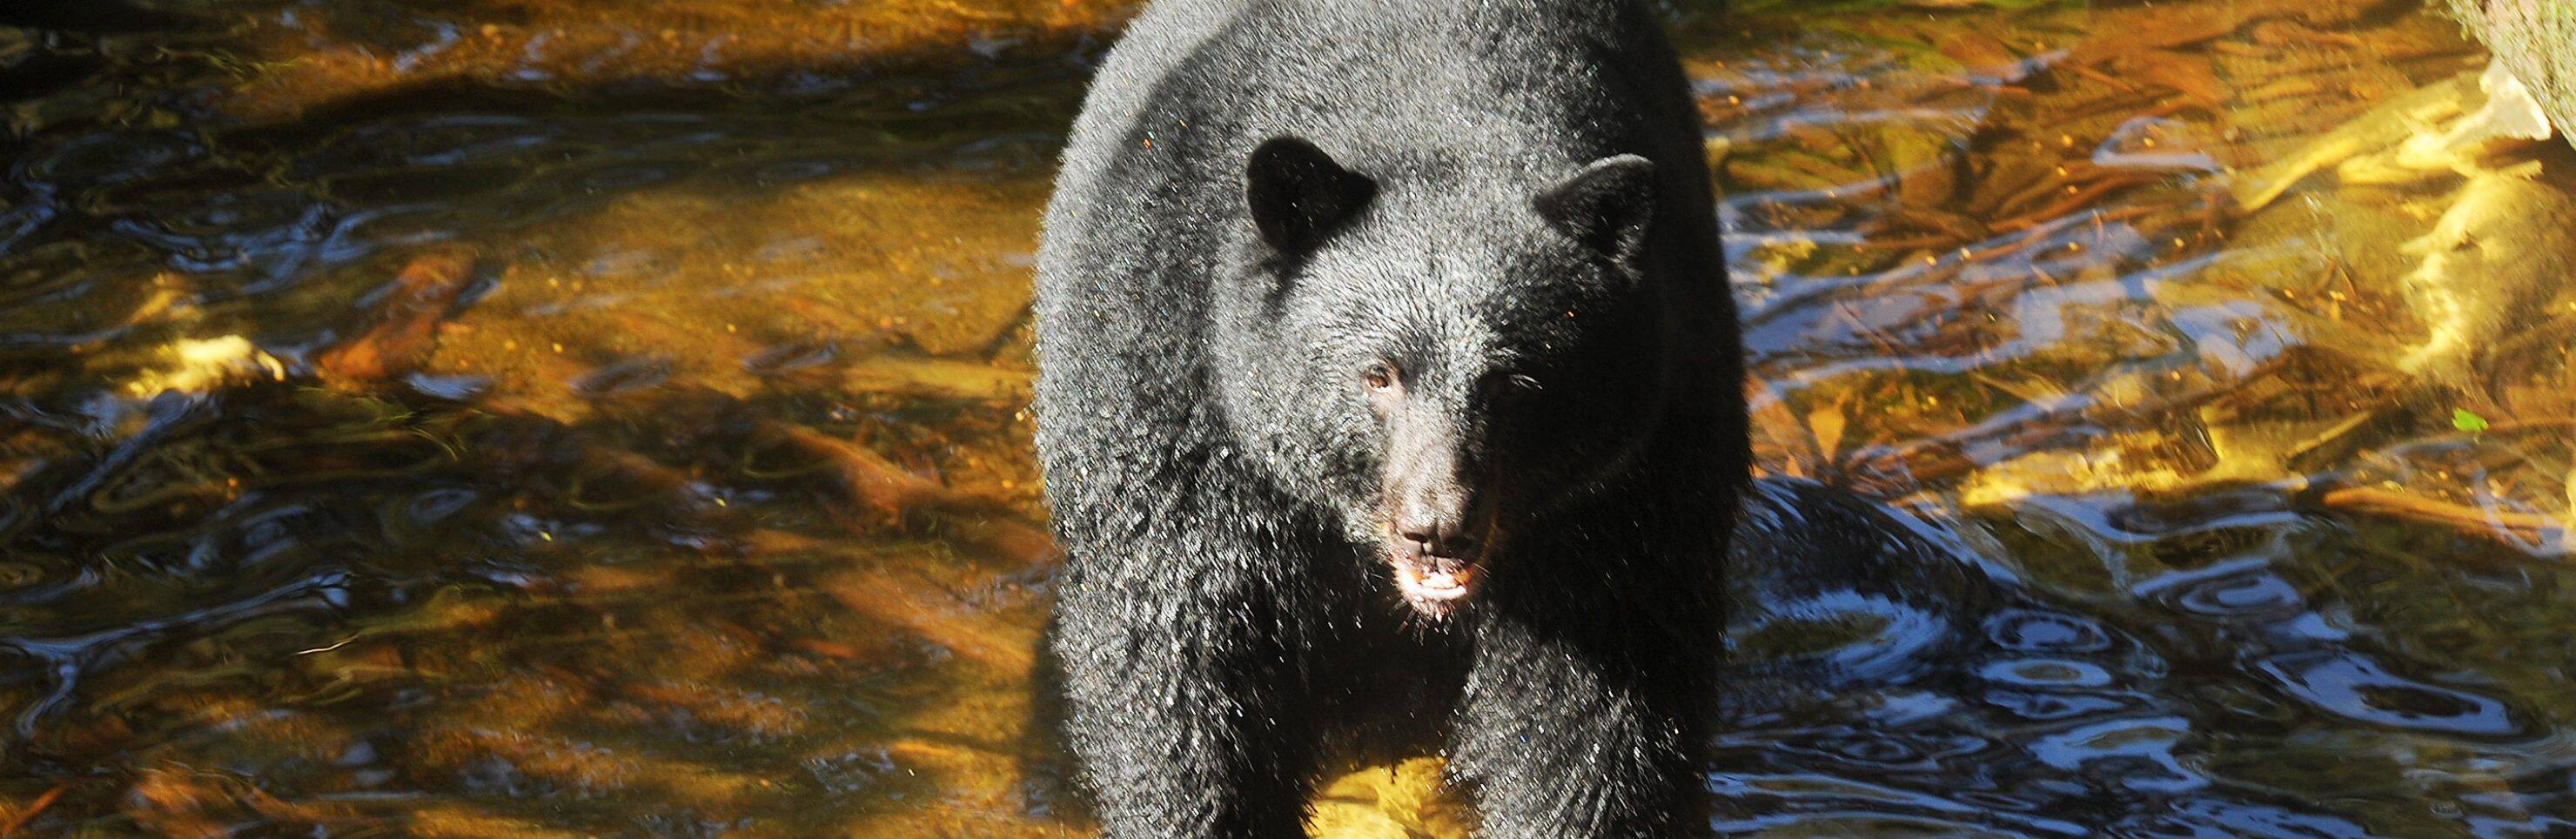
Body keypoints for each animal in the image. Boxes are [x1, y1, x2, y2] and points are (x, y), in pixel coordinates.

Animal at [1031, 0, 1745, 835]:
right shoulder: (1178, 406)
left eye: (1515, 382)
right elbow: (1181, 670)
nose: (1437, 527)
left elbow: (1595, 713)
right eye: (1378, 375)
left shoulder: (1632, 482)